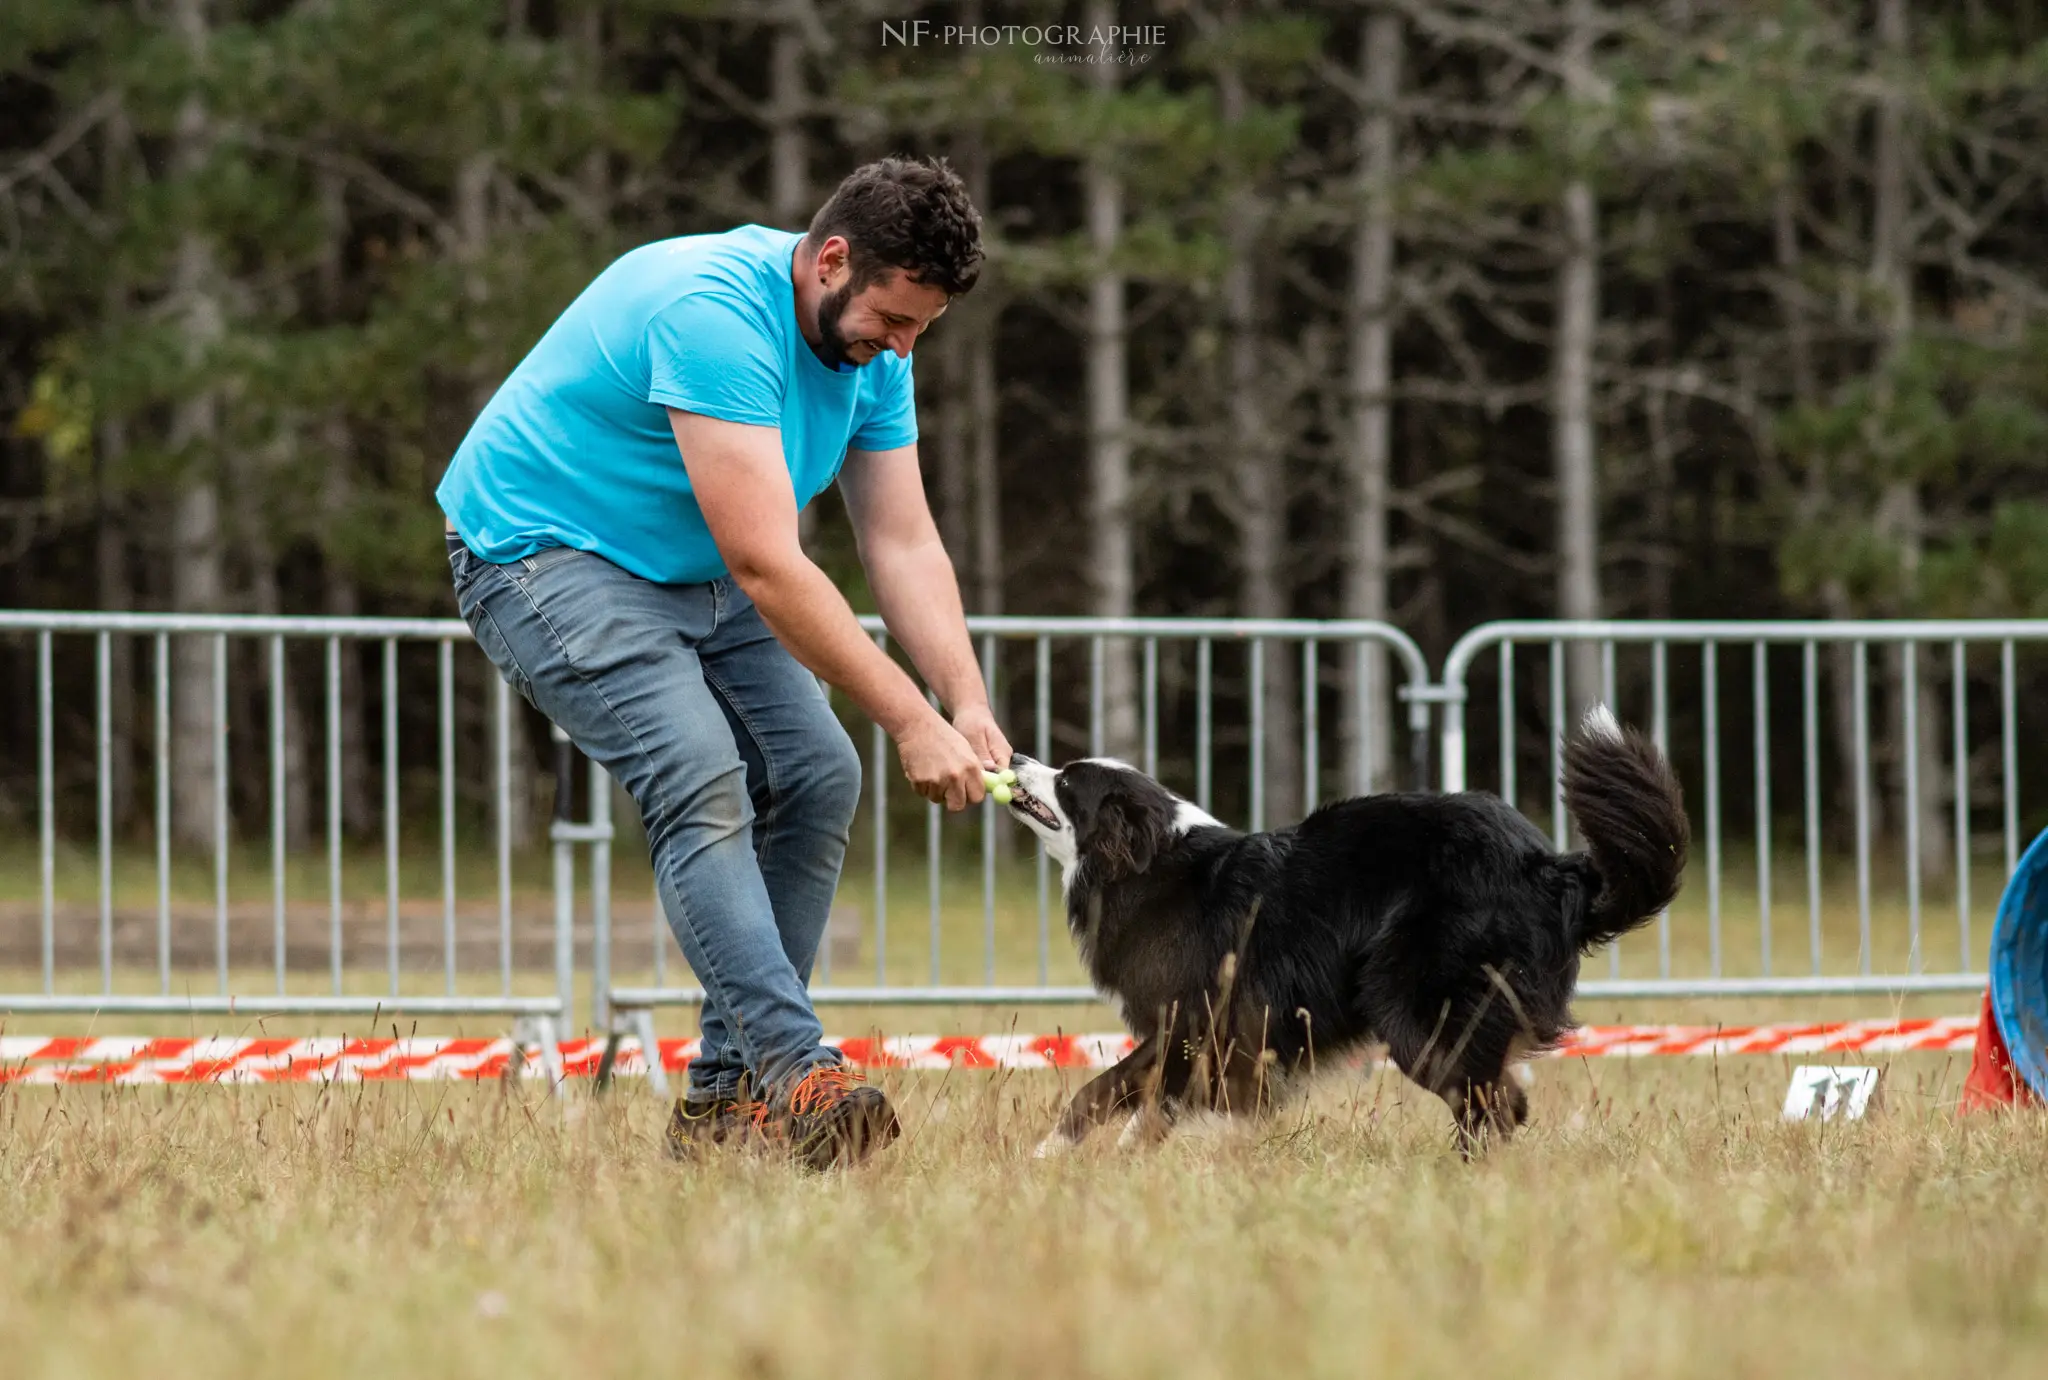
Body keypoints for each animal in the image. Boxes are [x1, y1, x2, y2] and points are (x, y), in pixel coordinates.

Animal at [999, 704, 1687, 1154]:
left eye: (1067, 779)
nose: (1013, 755)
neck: (1149, 865)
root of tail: (1549, 868)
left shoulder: (1198, 1021)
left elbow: (1114, 1091)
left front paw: (1073, 1159)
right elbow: (1123, 1098)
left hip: (1415, 1002)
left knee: (1489, 1102)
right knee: (1502, 1096)